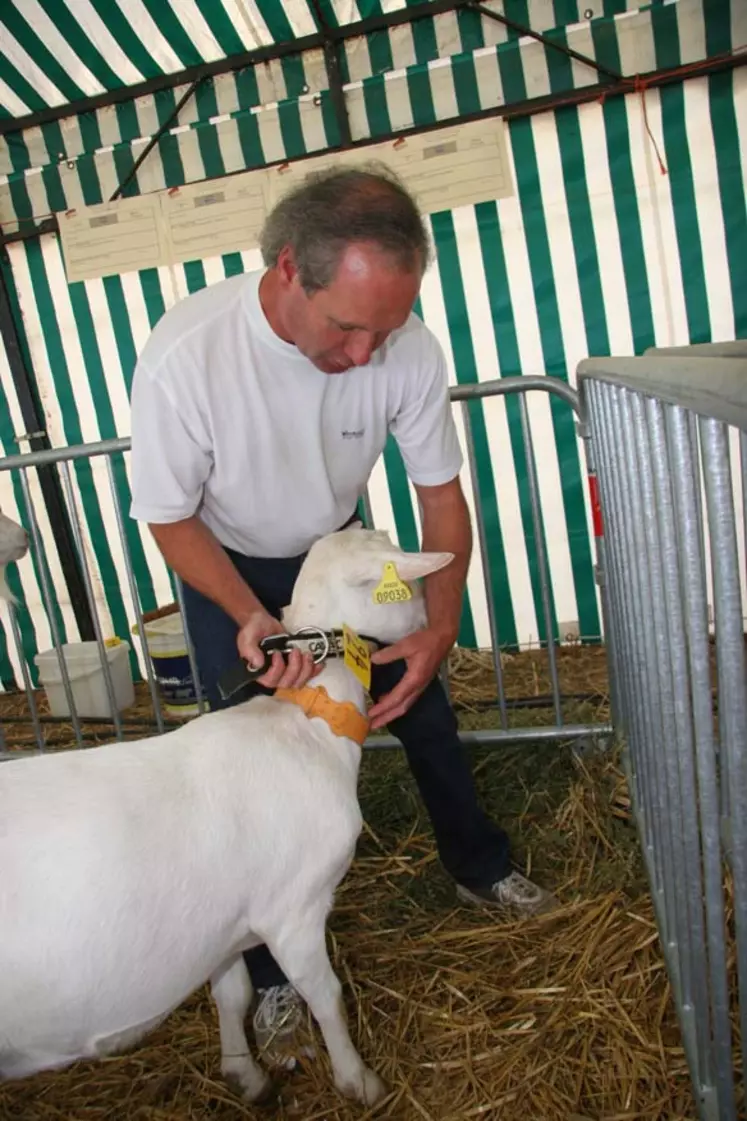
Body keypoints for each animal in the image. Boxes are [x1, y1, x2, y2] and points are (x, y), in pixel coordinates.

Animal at [0, 522, 450, 1103]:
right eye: (403, 582)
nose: (432, 624)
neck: (309, 723)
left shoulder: (222, 926)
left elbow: (231, 994)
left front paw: (244, 1074)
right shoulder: (293, 911)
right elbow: (325, 995)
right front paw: (359, 1081)